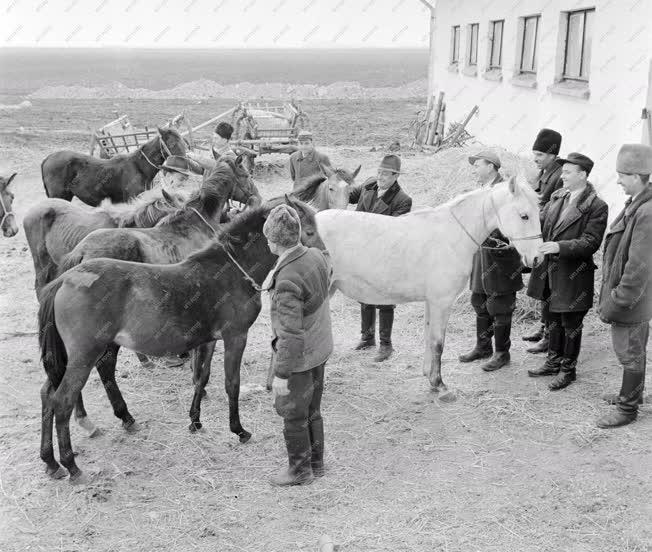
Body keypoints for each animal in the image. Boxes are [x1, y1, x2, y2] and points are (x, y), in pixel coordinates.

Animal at [37, 196, 322, 480]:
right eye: (308, 231)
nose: (323, 259)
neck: (229, 271)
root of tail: (64, 280)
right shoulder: (236, 336)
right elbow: (232, 383)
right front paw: (239, 430)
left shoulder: (210, 340)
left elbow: (201, 377)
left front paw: (195, 421)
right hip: (85, 355)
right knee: (63, 400)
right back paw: (72, 464)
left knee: (49, 394)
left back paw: (53, 461)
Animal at [42, 127, 187, 207]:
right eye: (172, 144)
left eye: (184, 142)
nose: (184, 164)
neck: (138, 167)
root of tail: (48, 158)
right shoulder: (132, 198)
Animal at [314, 175, 540, 394]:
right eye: (524, 216)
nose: (537, 258)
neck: (452, 236)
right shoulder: (441, 302)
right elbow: (438, 342)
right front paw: (439, 384)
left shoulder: (431, 302)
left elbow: (429, 337)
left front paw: (429, 376)